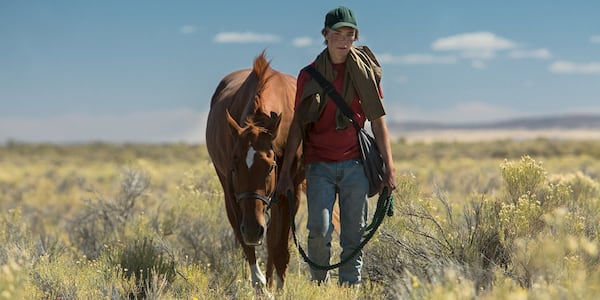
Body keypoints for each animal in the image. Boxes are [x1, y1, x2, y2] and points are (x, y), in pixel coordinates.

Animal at [205, 51, 302, 288]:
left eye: (269, 167)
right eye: (234, 167)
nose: (252, 230)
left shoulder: (290, 191)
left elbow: (279, 248)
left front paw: (280, 288)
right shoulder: (233, 193)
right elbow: (248, 247)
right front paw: (263, 286)